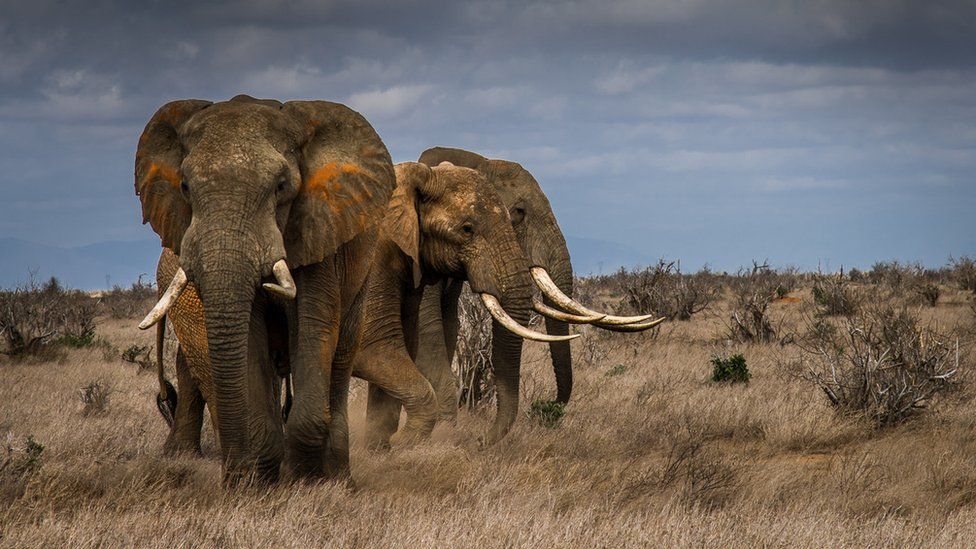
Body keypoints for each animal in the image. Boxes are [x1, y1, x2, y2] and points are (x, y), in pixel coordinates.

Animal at [135, 95, 394, 484]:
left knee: (339, 360)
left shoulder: (317, 232)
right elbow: (249, 337)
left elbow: (313, 329)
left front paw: (306, 483)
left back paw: (339, 481)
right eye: (185, 187)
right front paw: (257, 485)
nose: (234, 479)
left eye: (281, 186)